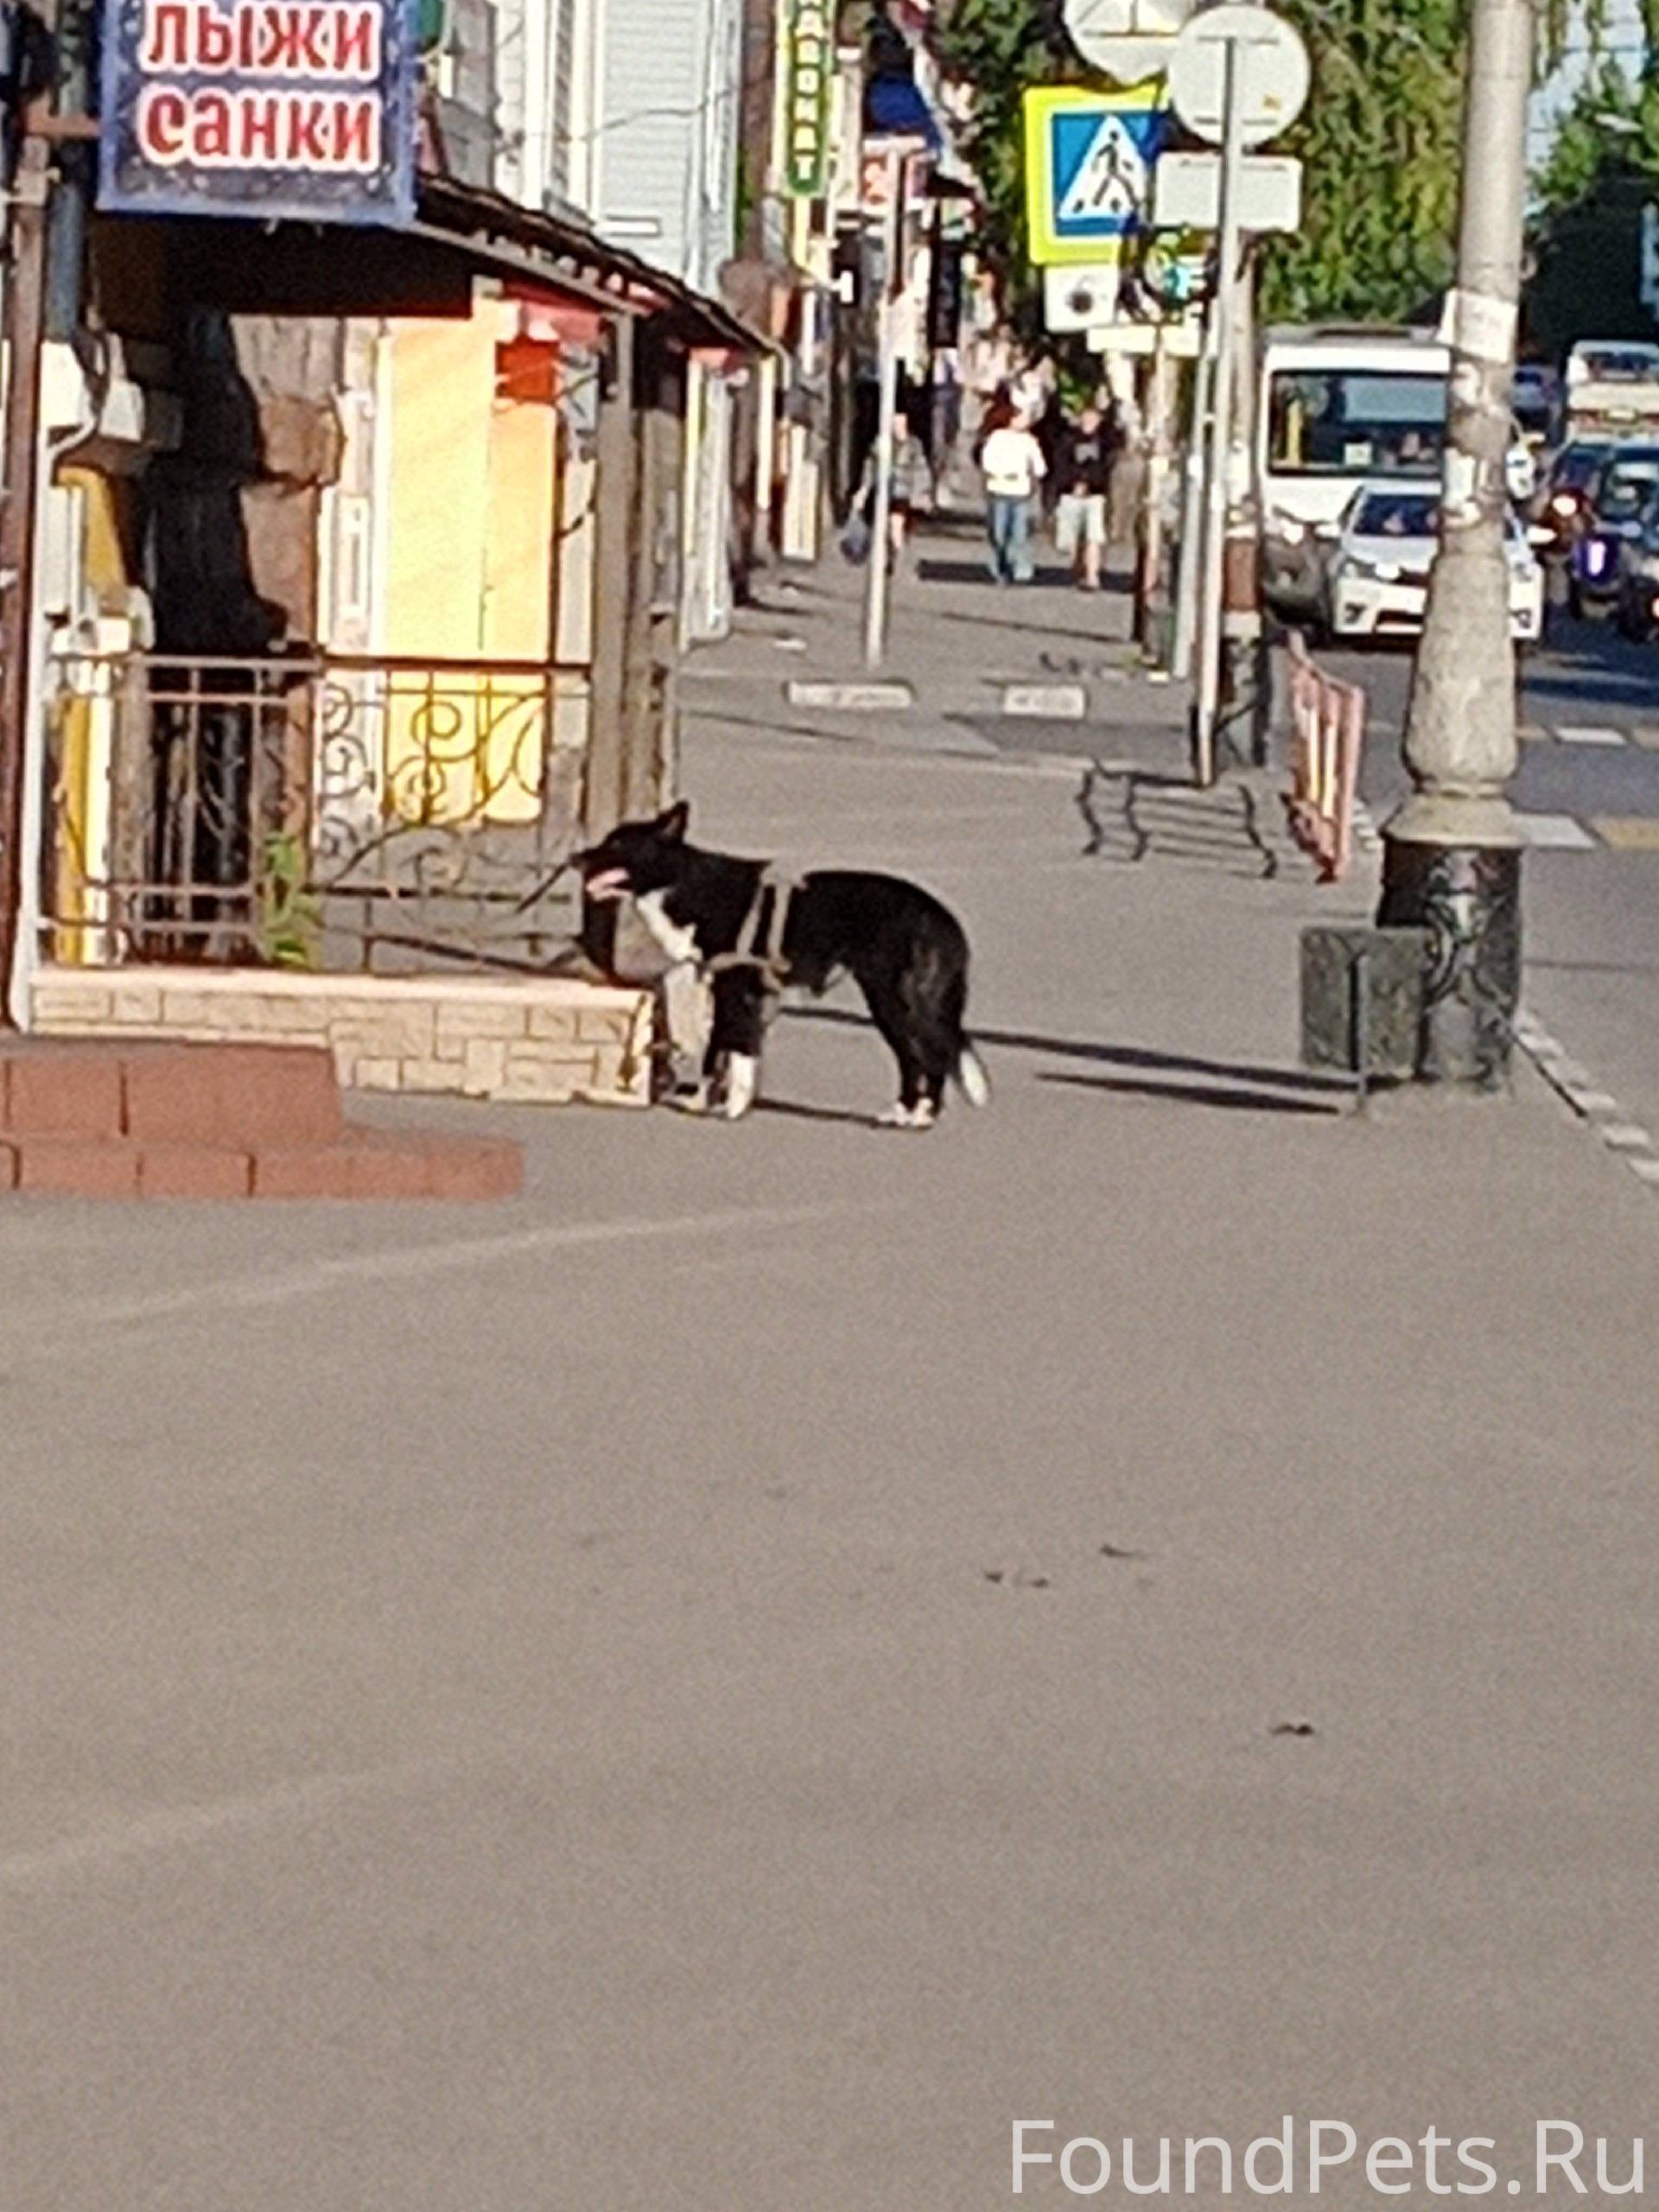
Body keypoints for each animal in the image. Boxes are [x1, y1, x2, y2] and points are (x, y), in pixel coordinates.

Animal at [579, 804, 995, 1132]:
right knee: (915, 1059)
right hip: (891, 1003)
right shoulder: (732, 993)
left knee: (931, 1056)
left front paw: (731, 1109)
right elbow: (718, 1052)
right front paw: (704, 1102)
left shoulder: (738, 993)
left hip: (898, 1000)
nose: (575, 858)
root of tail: (944, 921)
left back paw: (922, 1116)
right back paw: (904, 1113)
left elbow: (736, 1052)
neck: (680, 880)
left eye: (617, 844)